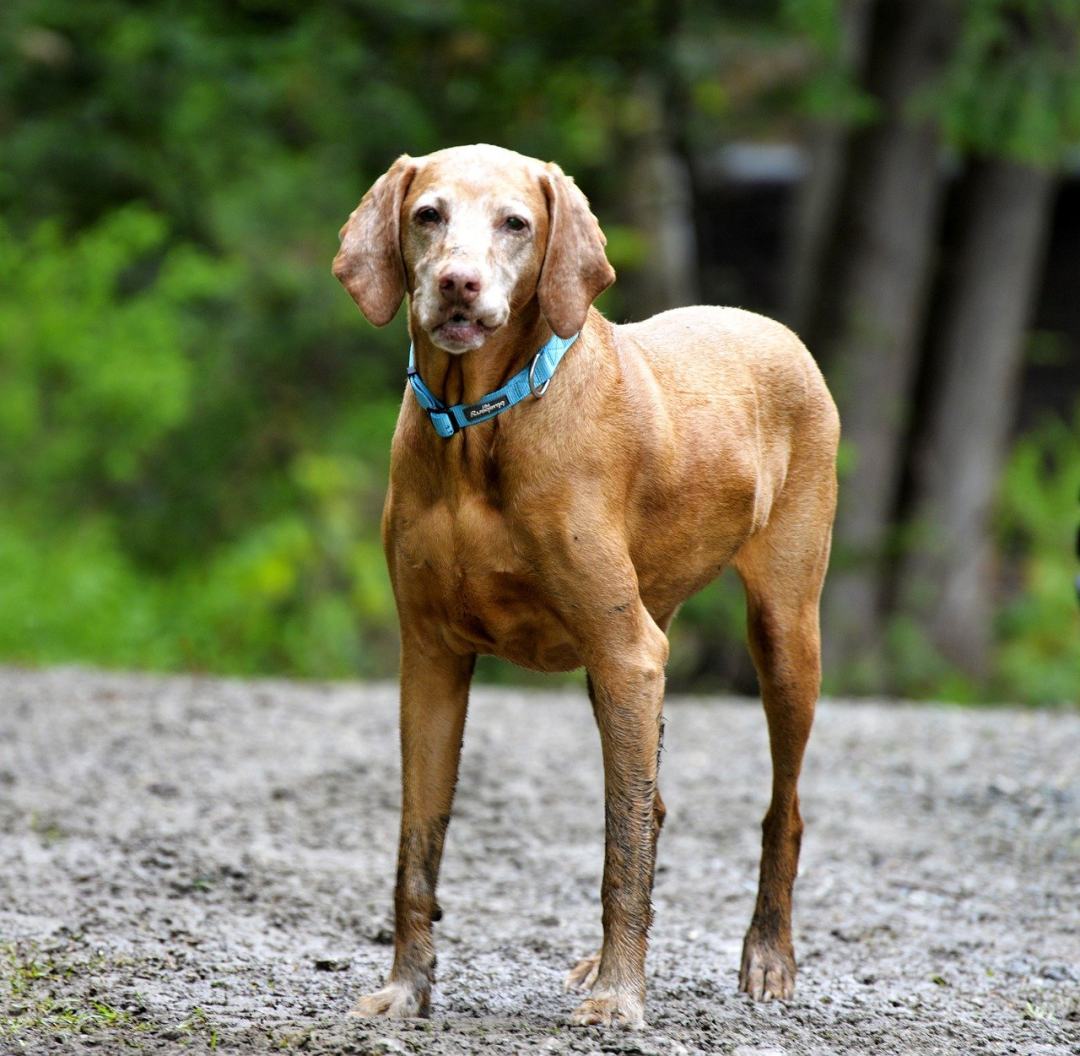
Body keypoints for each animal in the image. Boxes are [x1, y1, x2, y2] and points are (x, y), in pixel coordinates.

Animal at [332, 143, 838, 1023]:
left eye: (515, 223)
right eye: (428, 214)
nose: (458, 284)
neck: (480, 428)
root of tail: (773, 326)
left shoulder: (626, 651)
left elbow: (619, 850)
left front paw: (619, 998)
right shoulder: (430, 659)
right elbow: (416, 847)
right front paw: (406, 987)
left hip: (780, 634)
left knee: (783, 810)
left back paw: (768, 957)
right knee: (655, 806)